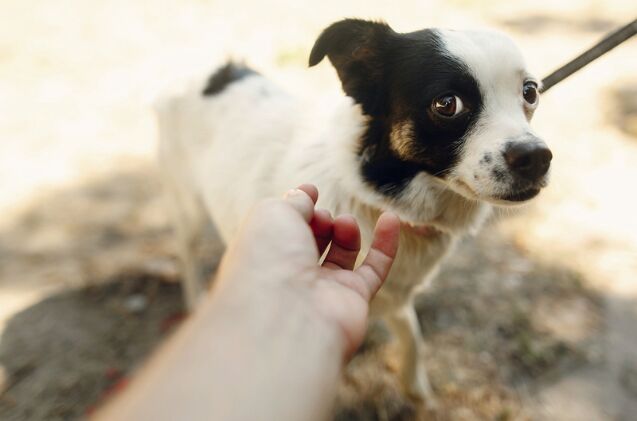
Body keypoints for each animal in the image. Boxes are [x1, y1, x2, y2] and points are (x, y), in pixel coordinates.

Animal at [155, 20, 552, 404]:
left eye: (530, 92)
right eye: (447, 104)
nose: (537, 158)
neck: (379, 200)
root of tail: (206, 72)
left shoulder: (393, 295)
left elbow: (411, 332)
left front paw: (415, 386)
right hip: (186, 207)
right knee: (187, 254)